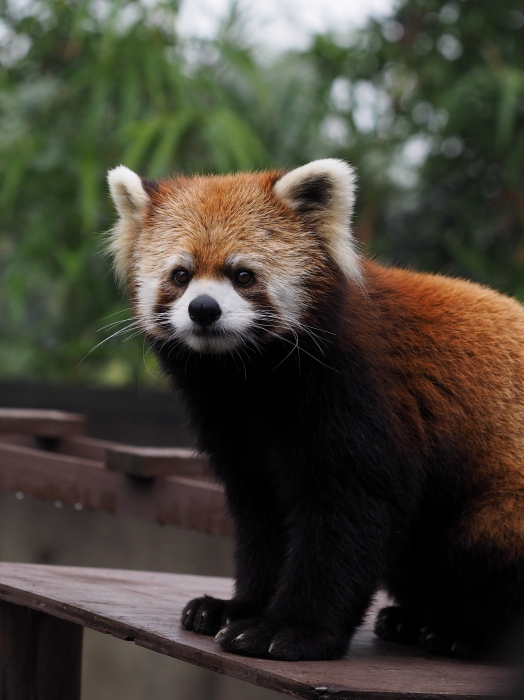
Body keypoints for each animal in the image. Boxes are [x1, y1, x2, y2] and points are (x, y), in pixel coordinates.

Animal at [105, 159, 524, 660]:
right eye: (181, 275)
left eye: (243, 276)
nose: (203, 309)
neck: (250, 378)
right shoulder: (233, 423)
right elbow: (262, 516)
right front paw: (236, 608)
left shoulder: (358, 396)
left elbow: (347, 513)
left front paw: (289, 630)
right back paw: (410, 620)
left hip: (503, 513)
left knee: (476, 547)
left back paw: (457, 633)